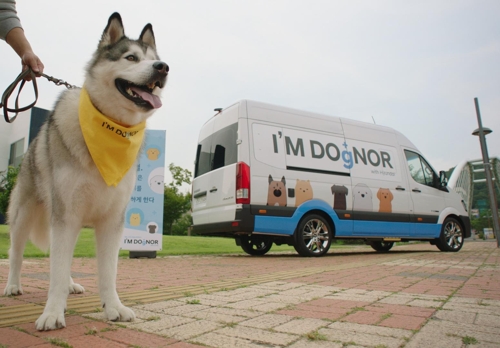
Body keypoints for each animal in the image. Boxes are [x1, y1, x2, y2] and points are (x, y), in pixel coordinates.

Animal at [2, 12, 170, 330]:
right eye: (131, 57)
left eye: (156, 59)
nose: (163, 68)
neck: (110, 130)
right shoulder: (65, 215)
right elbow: (55, 269)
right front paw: (53, 313)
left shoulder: (111, 220)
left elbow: (107, 271)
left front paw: (113, 307)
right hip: (24, 216)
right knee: (17, 253)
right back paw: (13, 286)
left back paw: (69, 283)